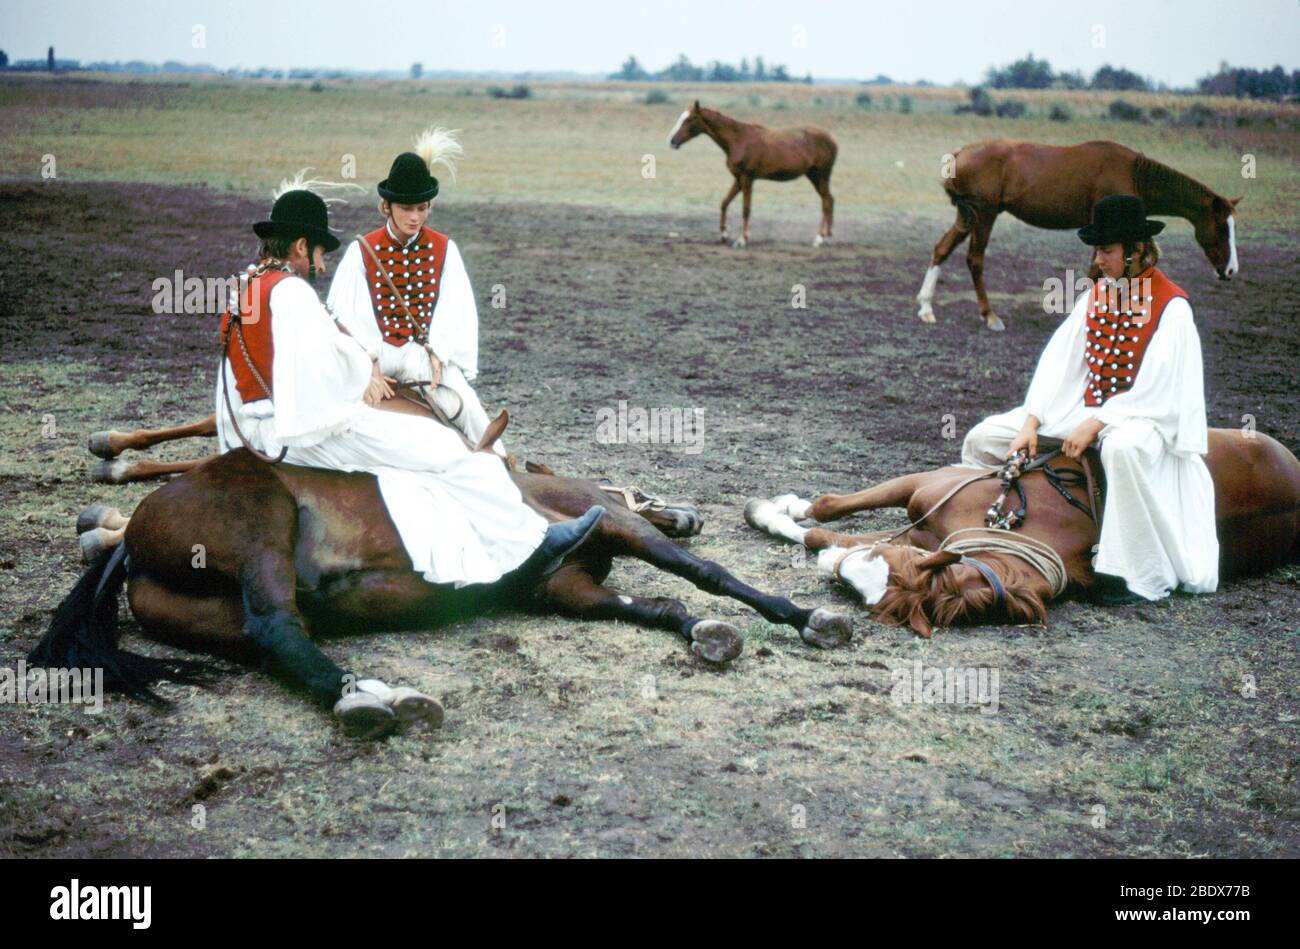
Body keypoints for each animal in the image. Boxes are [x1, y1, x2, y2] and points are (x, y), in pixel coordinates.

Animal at [35, 444, 852, 738]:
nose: (685, 513)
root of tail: (132, 536)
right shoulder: (617, 526)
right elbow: (705, 576)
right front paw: (806, 616)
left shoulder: (566, 588)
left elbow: (660, 607)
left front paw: (703, 633)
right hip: (260, 521)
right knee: (276, 624)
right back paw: (370, 705)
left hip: (219, 619)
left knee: (283, 642)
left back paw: (371, 694)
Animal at [665, 100, 837, 248]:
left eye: (690, 119)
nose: (672, 141)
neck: (738, 139)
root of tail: (833, 140)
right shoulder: (738, 179)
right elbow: (724, 203)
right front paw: (723, 235)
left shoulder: (747, 179)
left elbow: (746, 209)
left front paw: (742, 239)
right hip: (814, 176)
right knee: (828, 200)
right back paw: (827, 234)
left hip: (821, 176)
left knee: (826, 201)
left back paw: (819, 238)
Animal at [743, 428, 1300, 637]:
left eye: (875, 594)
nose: (833, 572)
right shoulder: (926, 490)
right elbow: (830, 506)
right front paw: (777, 508)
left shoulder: (920, 529)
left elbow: (823, 533)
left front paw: (782, 521)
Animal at [915, 138, 1237, 331]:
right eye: (1222, 227)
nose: (1231, 270)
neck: (1133, 173)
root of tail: (960, 153)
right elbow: (1094, 271)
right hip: (985, 215)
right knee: (975, 259)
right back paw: (990, 316)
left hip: (967, 217)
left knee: (941, 249)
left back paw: (926, 307)